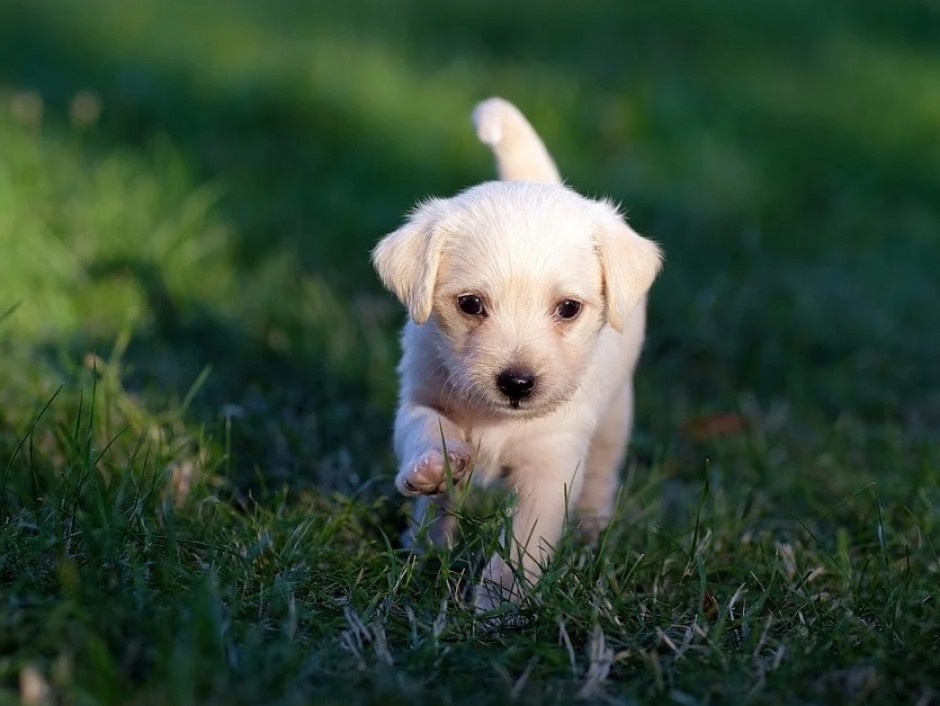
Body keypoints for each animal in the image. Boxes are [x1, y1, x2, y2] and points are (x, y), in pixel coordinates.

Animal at [370, 96, 664, 608]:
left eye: (568, 308)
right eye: (470, 304)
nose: (518, 383)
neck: (498, 421)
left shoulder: (551, 466)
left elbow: (522, 544)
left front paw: (499, 605)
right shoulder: (420, 396)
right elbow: (425, 429)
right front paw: (432, 468)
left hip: (615, 417)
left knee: (603, 471)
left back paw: (591, 529)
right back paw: (424, 545)